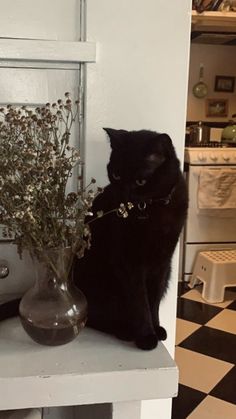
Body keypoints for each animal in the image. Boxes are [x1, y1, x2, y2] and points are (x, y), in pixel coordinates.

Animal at [74, 129, 189, 352]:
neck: (152, 209)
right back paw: (124, 331)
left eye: (140, 182)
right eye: (116, 174)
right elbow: (140, 302)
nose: (124, 194)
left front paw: (156, 328)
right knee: (95, 317)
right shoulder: (129, 263)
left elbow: (153, 301)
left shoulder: (162, 262)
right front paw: (146, 336)